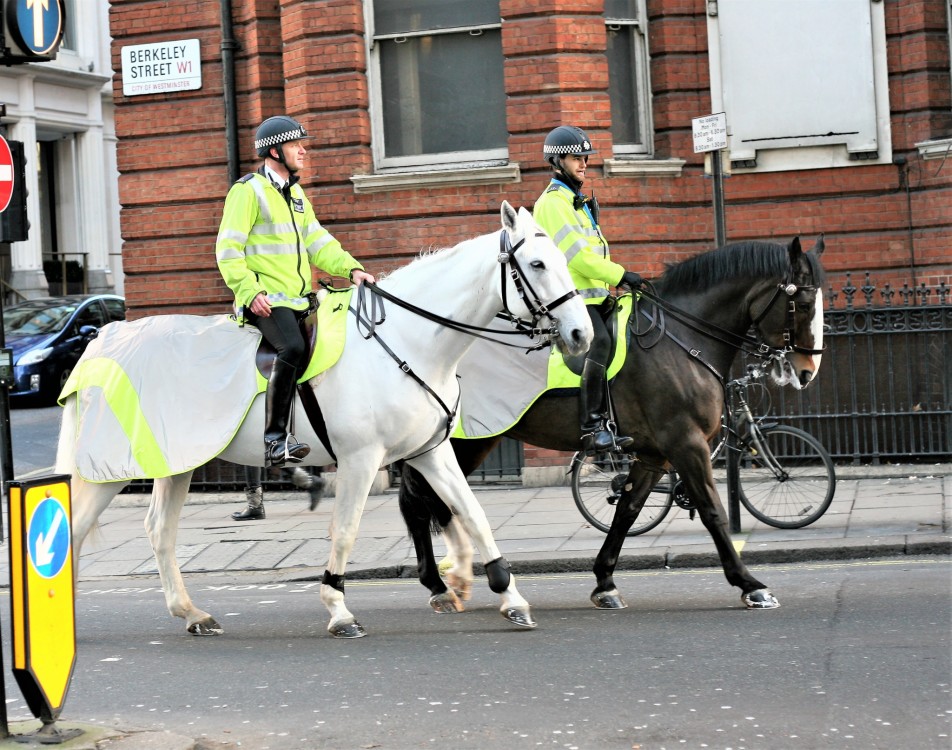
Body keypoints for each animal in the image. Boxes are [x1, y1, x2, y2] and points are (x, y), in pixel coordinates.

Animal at [55, 201, 592, 640]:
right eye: (538, 264)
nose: (580, 334)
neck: (408, 339)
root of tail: (101, 342)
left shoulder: (430, 453)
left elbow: (473, 515)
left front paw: (511, 597)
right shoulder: (361, 459)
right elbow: (346, 529)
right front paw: (338, 608)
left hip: (175, 462)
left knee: (159, 531)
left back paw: (191, 613)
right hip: (112, 470)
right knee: (76, 529)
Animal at [398, 238, 820, 612]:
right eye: (802, 303)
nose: (806, 371)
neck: (680, 341)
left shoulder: (654, 454)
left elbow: (627, 510)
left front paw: (605, 582)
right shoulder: (685, 442)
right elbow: (712, 509)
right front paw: (749, 584)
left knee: (432, 500)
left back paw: (451, 579)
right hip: (463, 442)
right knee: (416, 501)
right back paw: (439, 585)